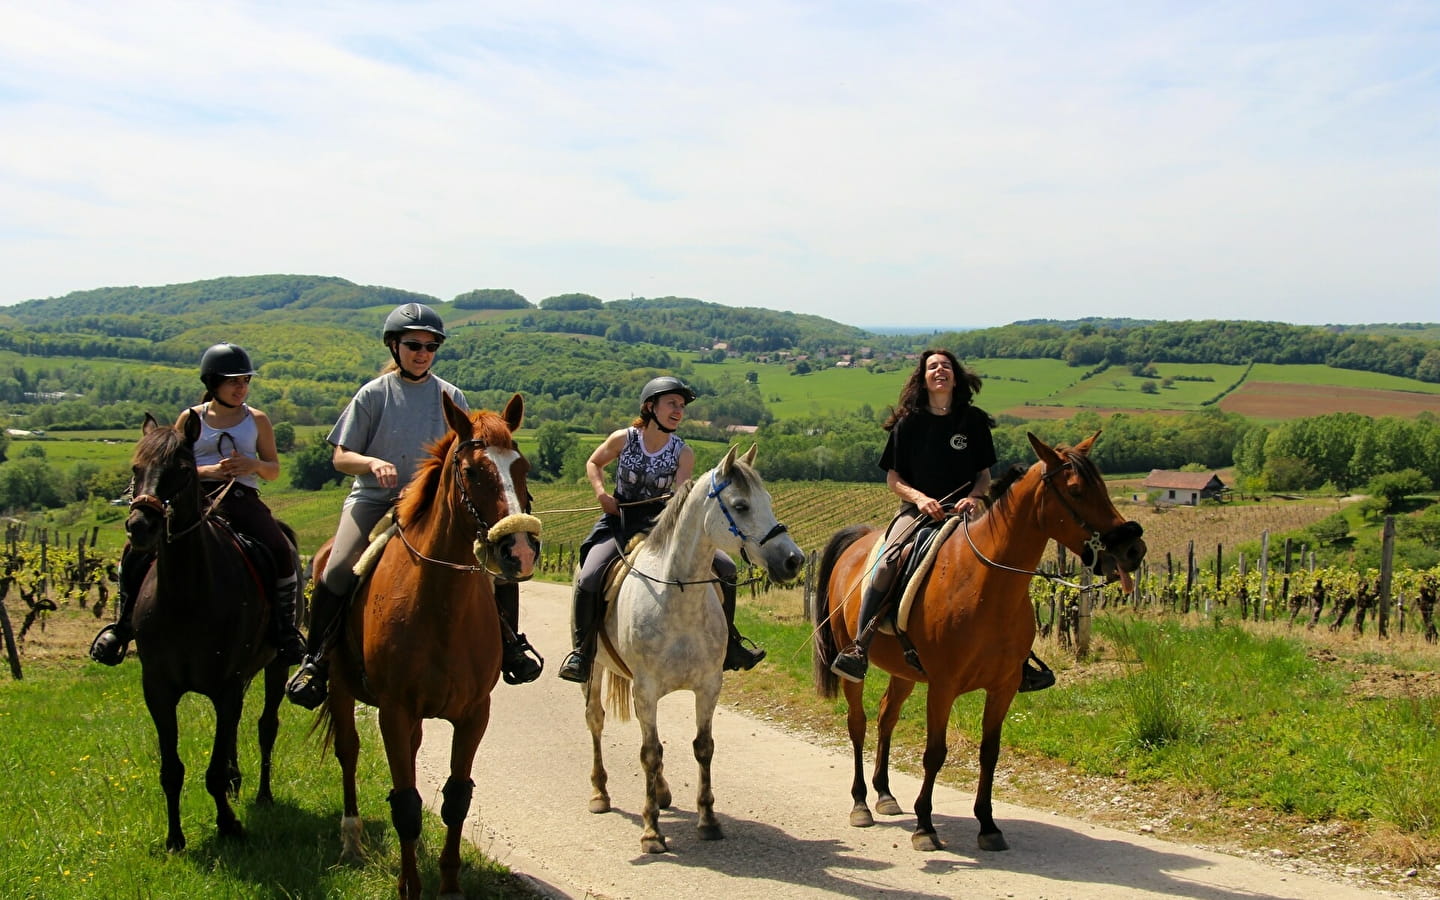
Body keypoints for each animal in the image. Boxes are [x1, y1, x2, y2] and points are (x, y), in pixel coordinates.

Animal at [125, 411, 299, 846]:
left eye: (183, 470)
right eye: (136, 468)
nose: (140, 527)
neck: (187, 596)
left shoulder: (226, 685)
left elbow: (215, 768)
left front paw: (229, 825)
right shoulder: (158, 690)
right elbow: (172, 770)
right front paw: (174, 838)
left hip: (274, 666)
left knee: (266, 726)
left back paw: (262, 795)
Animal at [315, 391, 541, 898]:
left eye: (522, 468)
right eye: (473, 471)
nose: (519, 550)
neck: (441, 607)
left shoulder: (474, 713)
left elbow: (454, 798)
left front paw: (449, 884)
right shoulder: (394, 711)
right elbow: (405, 802)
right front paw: (409, 886)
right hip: (340, 688)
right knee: (348, 752)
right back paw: (351, 840)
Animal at [584, 446, 812, 852]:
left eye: (768, 501)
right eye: (740, 506)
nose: (793, 560)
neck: (677, 597)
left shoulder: (708, 686)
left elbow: (701, 747)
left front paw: (708, 820)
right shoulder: (645, 689)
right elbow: (649, 753)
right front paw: (651, 832)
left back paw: (661, 793)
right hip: (594, 669)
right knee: (596, 719)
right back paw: (600, 793)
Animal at [817, 432, 1140, 852]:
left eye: (1102, 486)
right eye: (1075, 490)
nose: (1133, 550)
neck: (988, 586)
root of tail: (858, 541)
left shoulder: (1004, 686)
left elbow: (990, 753)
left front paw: (987, 824)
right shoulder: (943, 686)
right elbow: (934, 753)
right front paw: (925, 826)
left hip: (904, 671)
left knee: (887, 716)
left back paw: (885, 794)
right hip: (855, 663)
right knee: (858, 723)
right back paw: (861, 804)